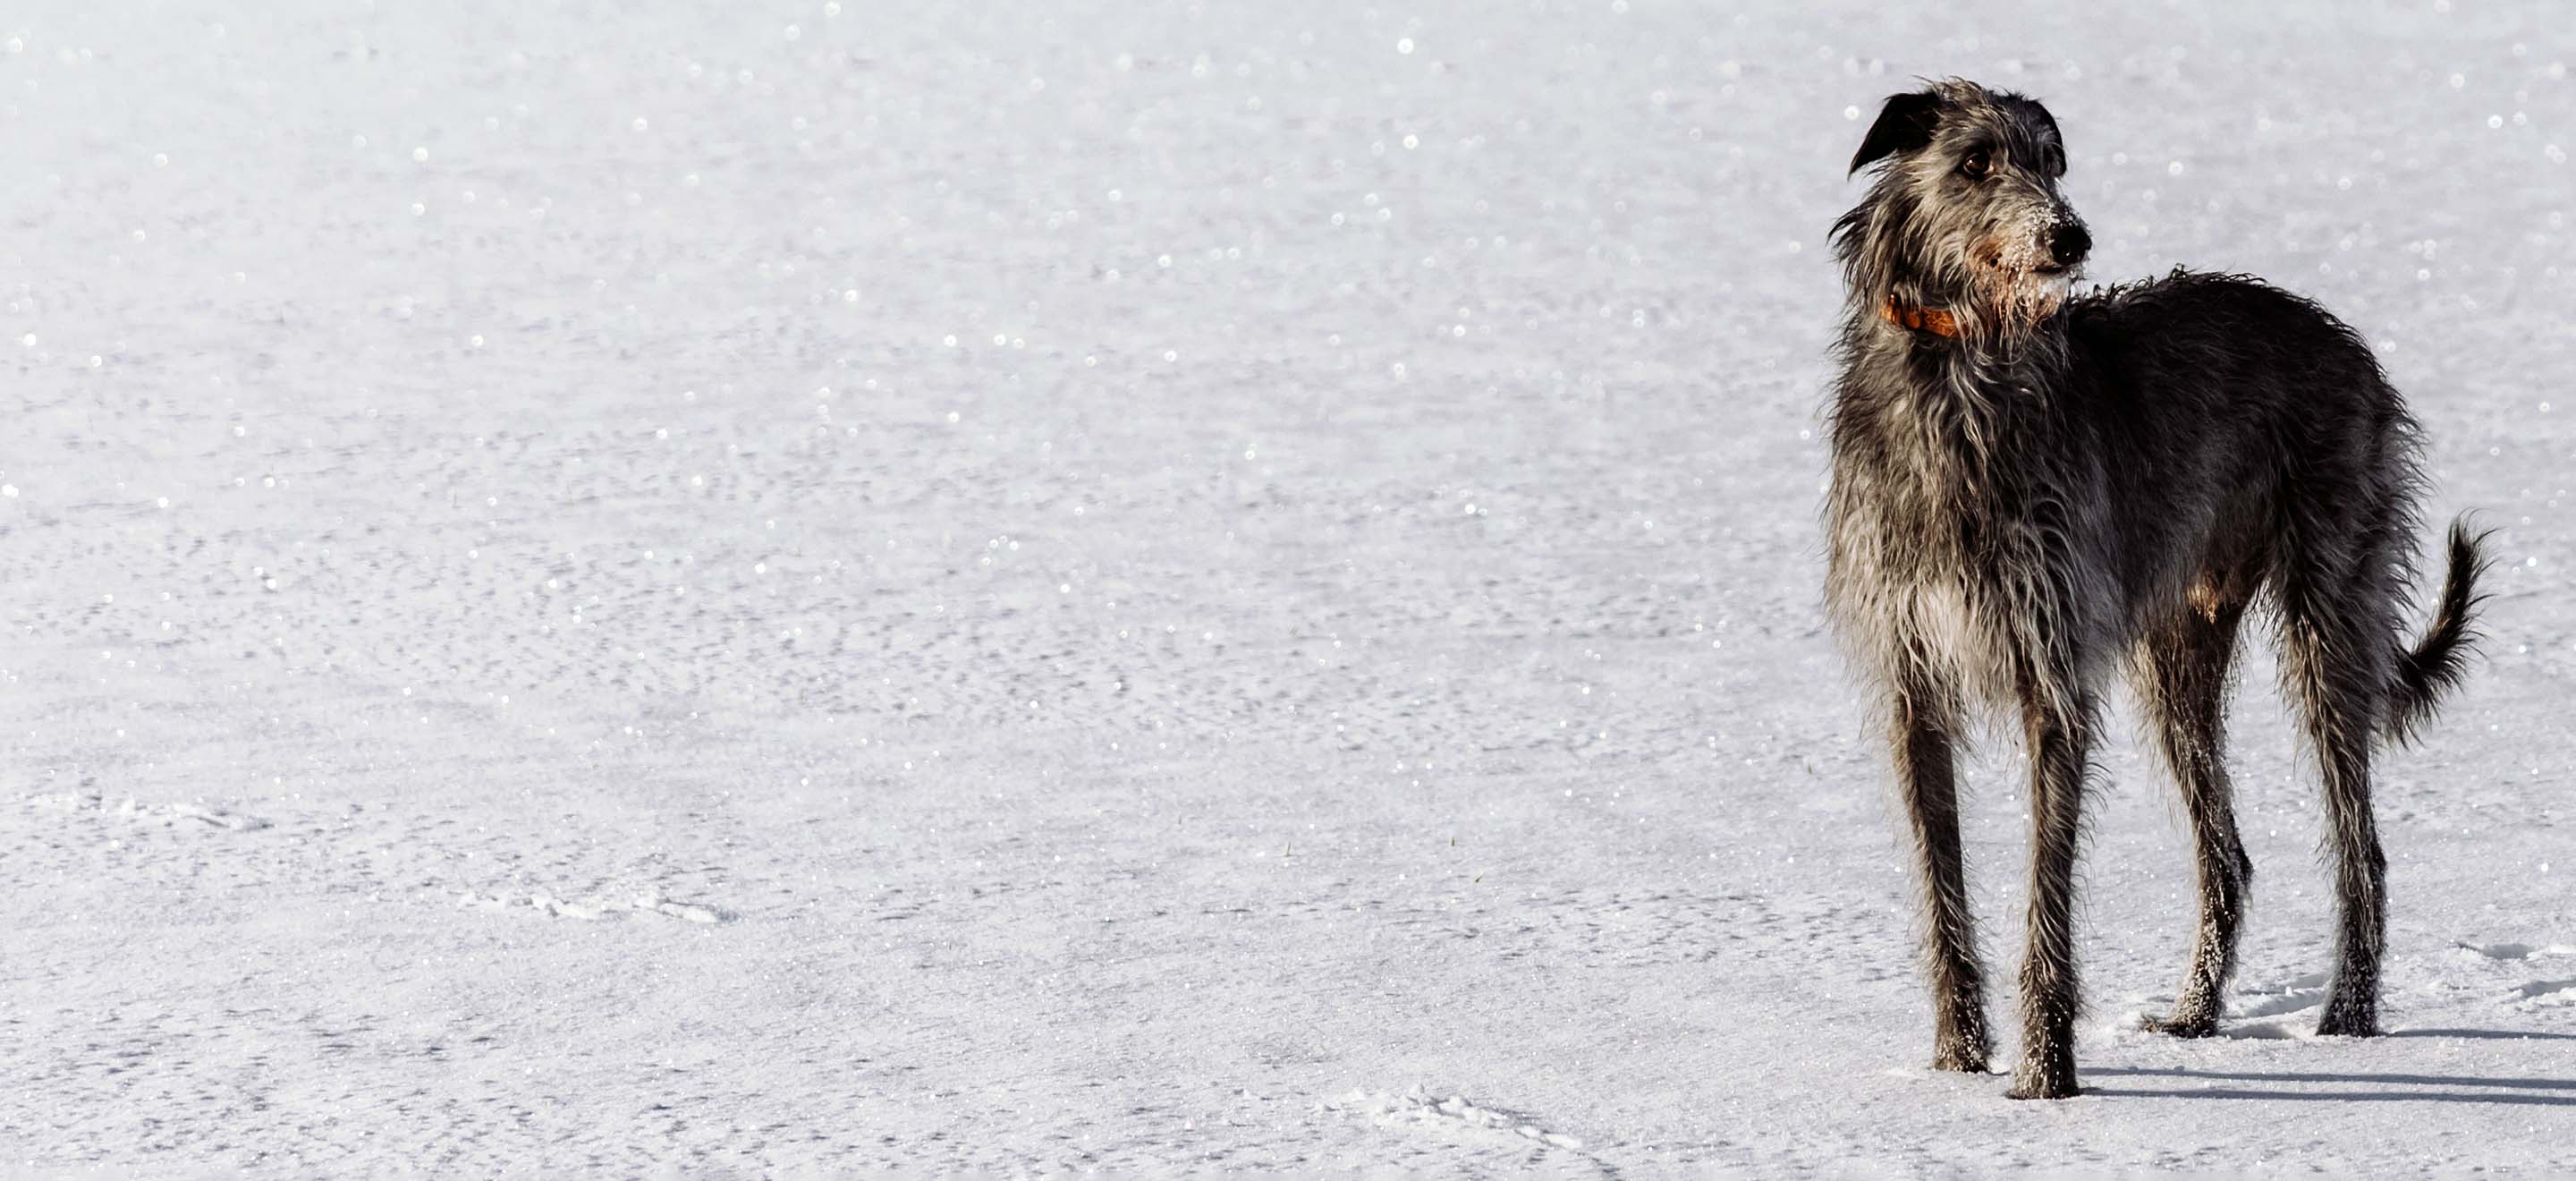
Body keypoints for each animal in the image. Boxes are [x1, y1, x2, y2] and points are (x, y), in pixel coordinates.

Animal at [1824, 81, 2483, 1098]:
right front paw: (1956, 1061)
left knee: (2361, 844)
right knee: (2228, 856)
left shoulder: (2052, 672)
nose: (2069, 238)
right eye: (1975, 161)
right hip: (2178, 654)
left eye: (2050, 160)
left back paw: (2346, 1017)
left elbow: (2045, 893)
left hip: (2328, 610)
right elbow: (1941, 886)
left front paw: (2045, 1074)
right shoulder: (1911, 679)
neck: (1959, 376)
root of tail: (2342, 340)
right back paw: (2195, 1015)